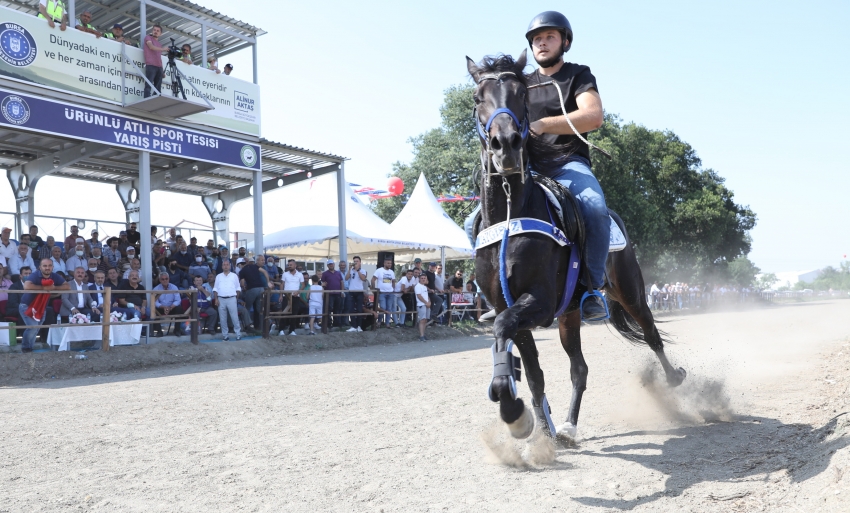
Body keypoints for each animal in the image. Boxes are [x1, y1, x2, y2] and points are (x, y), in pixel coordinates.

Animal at [468, 50, 684, 438]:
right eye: (478, 98)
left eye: (521, 95)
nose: (505, 144)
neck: (510, 217)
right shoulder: (512, 305)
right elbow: (530, 370)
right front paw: (539, 427)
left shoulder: (538, 301)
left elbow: (504, 326)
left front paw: (511, 407)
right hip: (569, 315)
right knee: (579, 368)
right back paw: (567, 426)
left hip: (631, 292)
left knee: (652, 335)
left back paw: (674, 379)